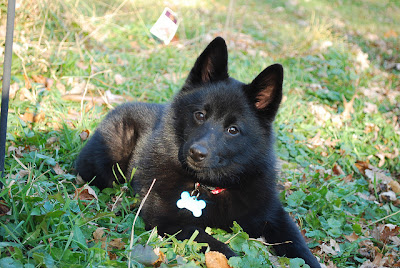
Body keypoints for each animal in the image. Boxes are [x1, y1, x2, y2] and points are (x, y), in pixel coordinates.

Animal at [75, 36, 318, 266]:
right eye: (200, 115)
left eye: (233, 129)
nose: (196, 153)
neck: (212, 186)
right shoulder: (169, 221)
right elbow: (215, 244)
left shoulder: (275, 216)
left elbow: (299, 246)